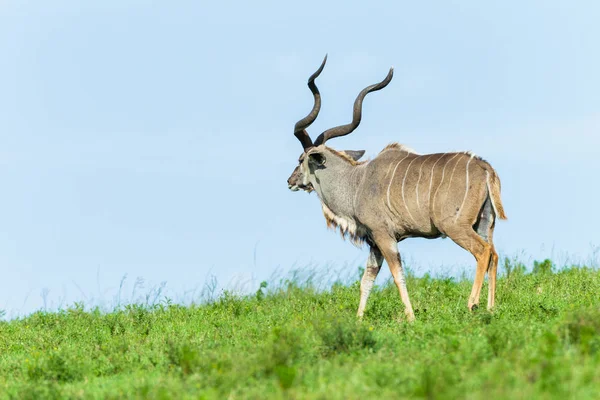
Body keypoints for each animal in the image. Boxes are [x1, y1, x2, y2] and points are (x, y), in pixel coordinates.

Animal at [288, 57, 506, 322]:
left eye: (301, 159)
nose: (290, 181)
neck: (355, 182)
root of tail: (484, 167)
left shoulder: (384, 236)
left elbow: (397, 275)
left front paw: (410, 317)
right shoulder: (374, 242)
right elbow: (366, 280)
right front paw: (359, 319)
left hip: (456, 227)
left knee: (482, 252)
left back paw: (472, 304)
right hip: (484, 224)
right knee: (494, 254)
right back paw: (491, 308)